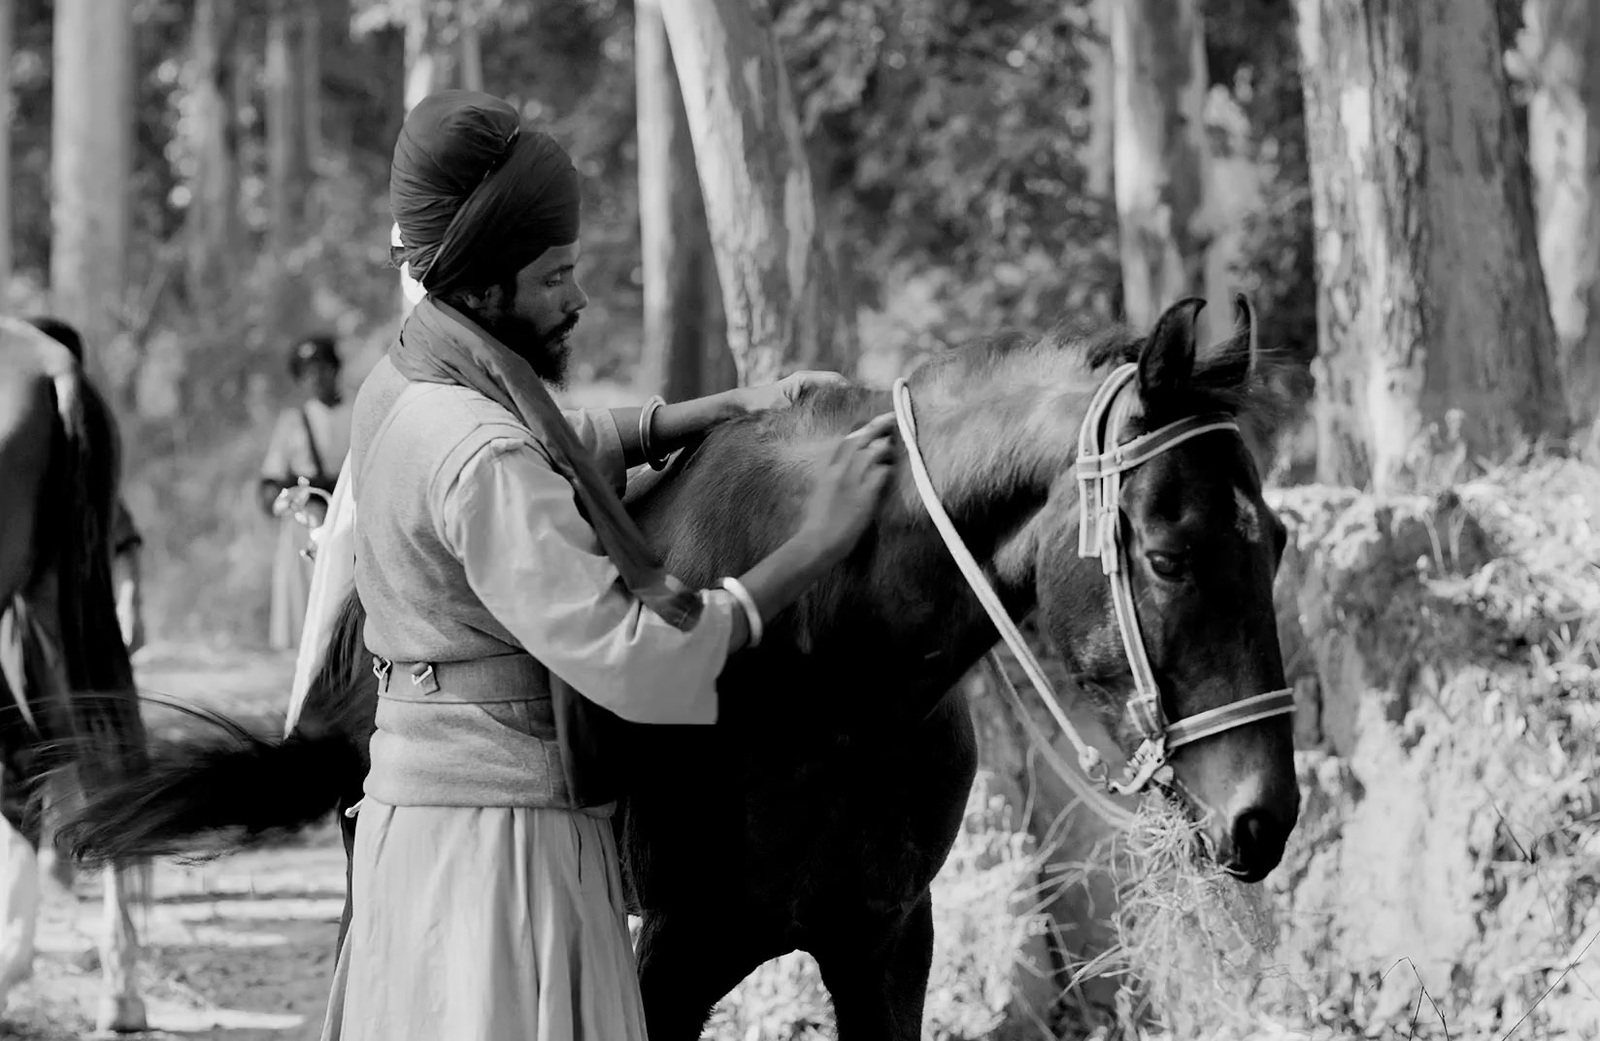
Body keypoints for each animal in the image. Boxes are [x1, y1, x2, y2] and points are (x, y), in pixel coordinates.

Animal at [59, 297, 1299, 1036]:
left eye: (1277, 540)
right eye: (1168, 554)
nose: (1263, 816)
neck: (827, 680)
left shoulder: (884, 938)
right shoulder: (678, 950)